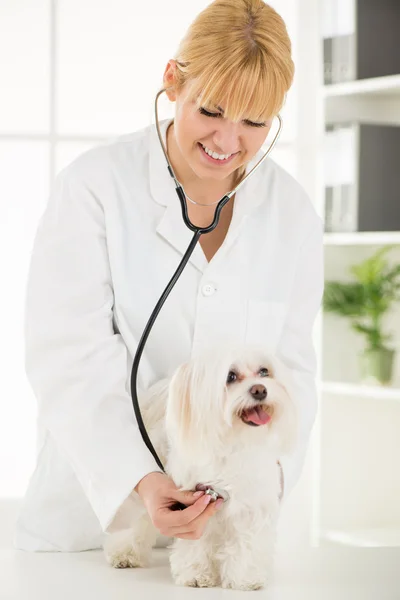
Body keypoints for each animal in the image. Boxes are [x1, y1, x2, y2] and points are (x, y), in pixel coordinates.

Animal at [103, 344, 296, 592]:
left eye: (264, 371)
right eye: (230, 376)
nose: (260, 390)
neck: (233, 443)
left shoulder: (252, 504)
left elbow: (246, 541)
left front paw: (245, 578)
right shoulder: (192, 505)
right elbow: (195, 541)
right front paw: (196, 574)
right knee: (140, 520)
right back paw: (126, 552)